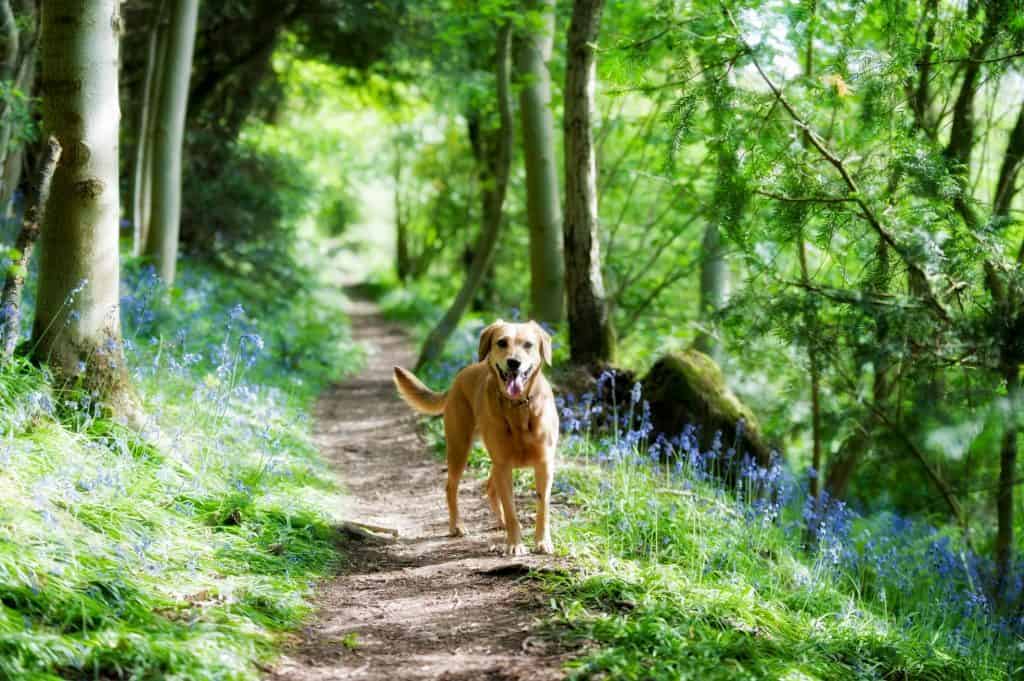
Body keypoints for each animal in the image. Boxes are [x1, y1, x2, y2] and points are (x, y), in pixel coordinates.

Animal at [393, 319, 561, 552]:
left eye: (528, 344)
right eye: (502, 342)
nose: (514, 363)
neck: (517, 408)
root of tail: (458, 378)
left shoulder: (543, 464)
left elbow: (542, 507)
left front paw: (542, 542)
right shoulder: (503, 464)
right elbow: (512, 511)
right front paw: (515, 544)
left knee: (489, 487)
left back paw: (499, 522)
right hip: (459, 448)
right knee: (451, 487)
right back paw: (457, 526)